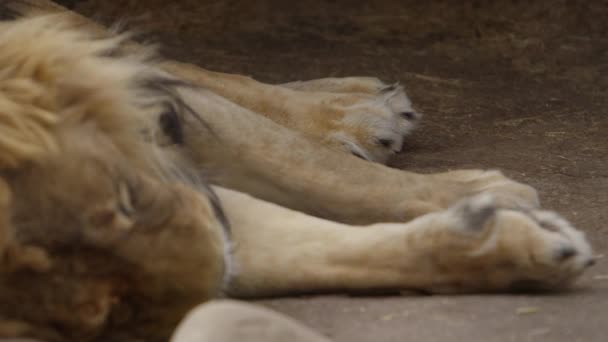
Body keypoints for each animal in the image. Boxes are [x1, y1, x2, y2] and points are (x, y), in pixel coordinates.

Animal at [0, 0, 600, 342]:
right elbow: (328, 255)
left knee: (189, 69)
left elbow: (315, 168)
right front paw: (513, 247)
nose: (224, 256)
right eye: (118, 316)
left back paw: (361, 109)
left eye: (127, 200)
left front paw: (489, 194)